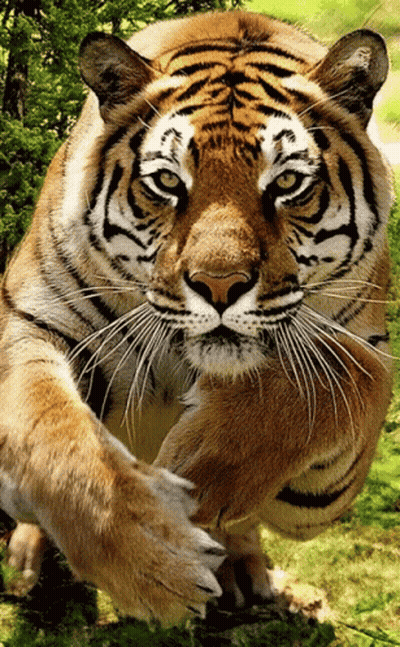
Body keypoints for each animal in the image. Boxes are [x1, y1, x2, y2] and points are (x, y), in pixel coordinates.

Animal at [0, 9, 394, 622]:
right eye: (167, 181)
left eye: (287, 183)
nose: (219, 285)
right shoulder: (30, 323)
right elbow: (53, 437)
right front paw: (154, 560)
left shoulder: (327, 471)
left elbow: (348, 372)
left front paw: (198, 472)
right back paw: (30, 565)